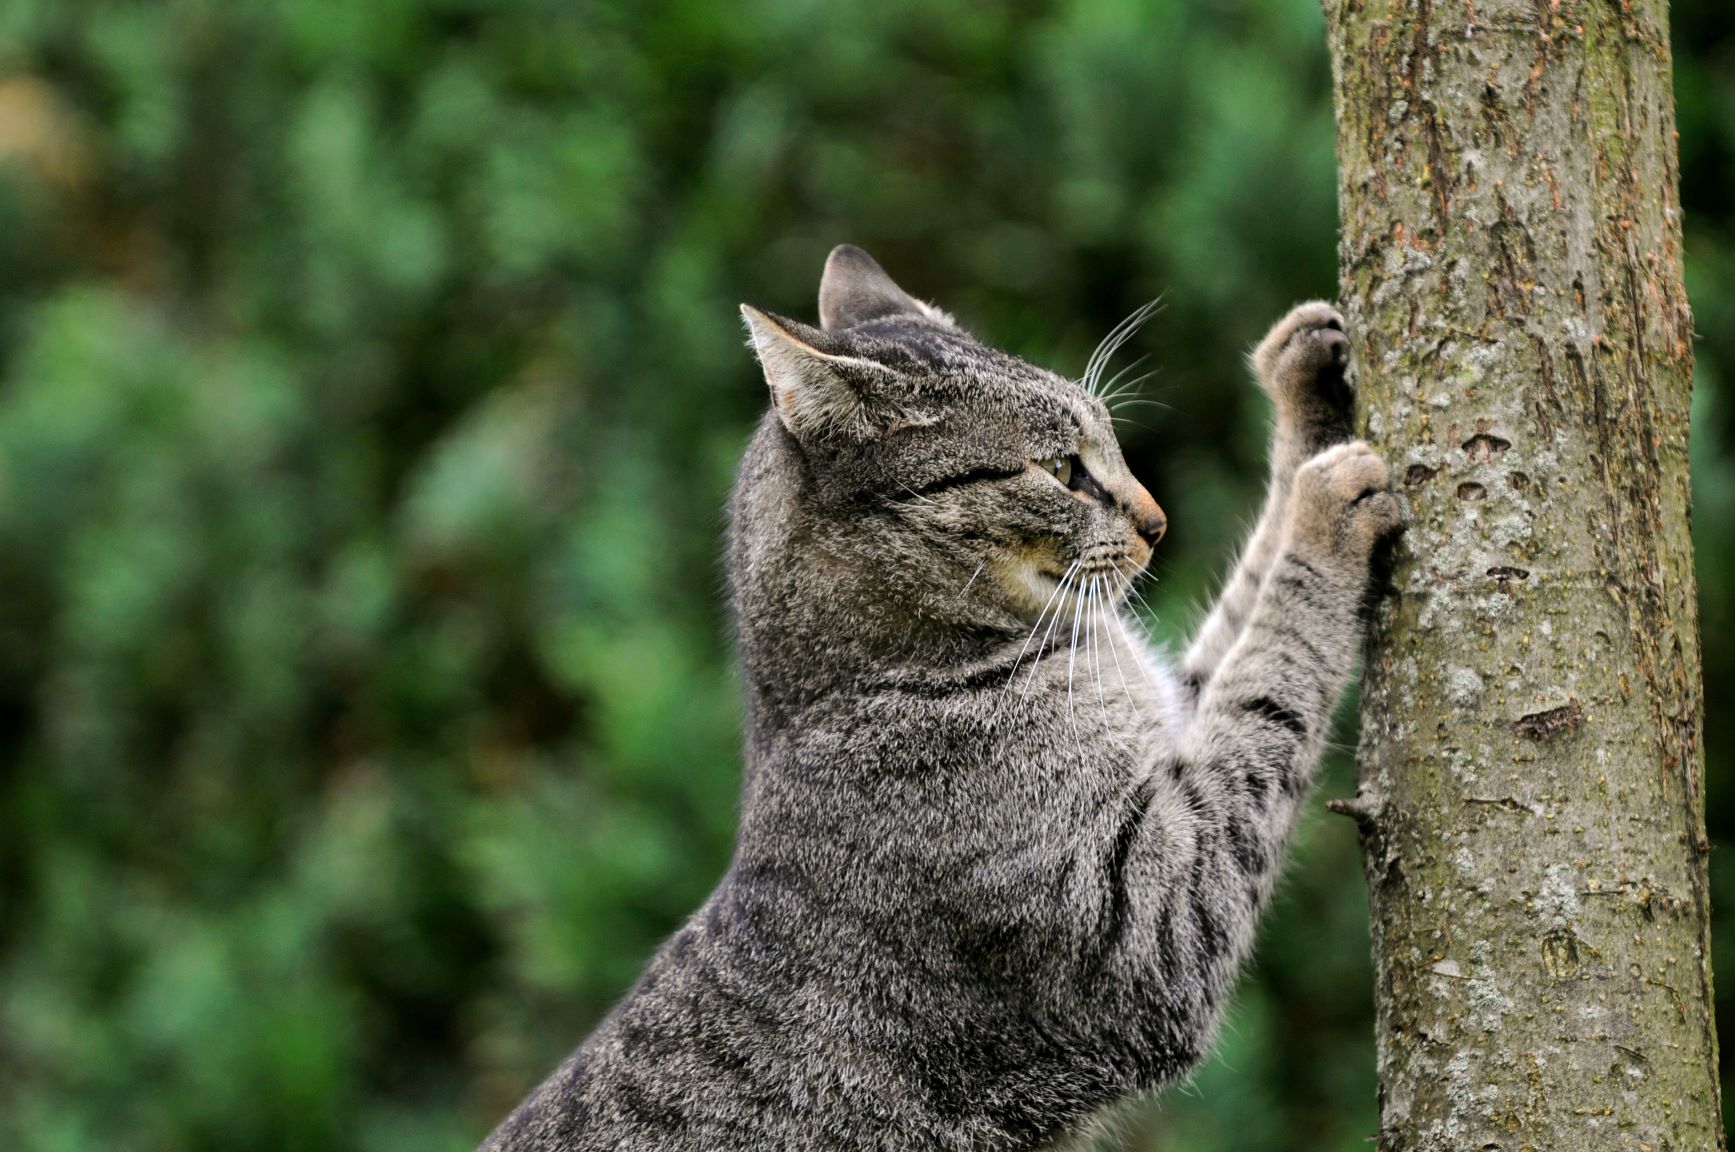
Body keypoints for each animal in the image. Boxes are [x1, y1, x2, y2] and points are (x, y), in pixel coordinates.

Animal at [482, 244, 1401, 1152]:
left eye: (1109, 438)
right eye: (1060, 468)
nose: (1157, 521)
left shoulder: (1171, 728)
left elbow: (1243, 624)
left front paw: (1302, 383)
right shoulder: (1155, 921)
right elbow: (1273, 665)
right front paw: (1325, 511)